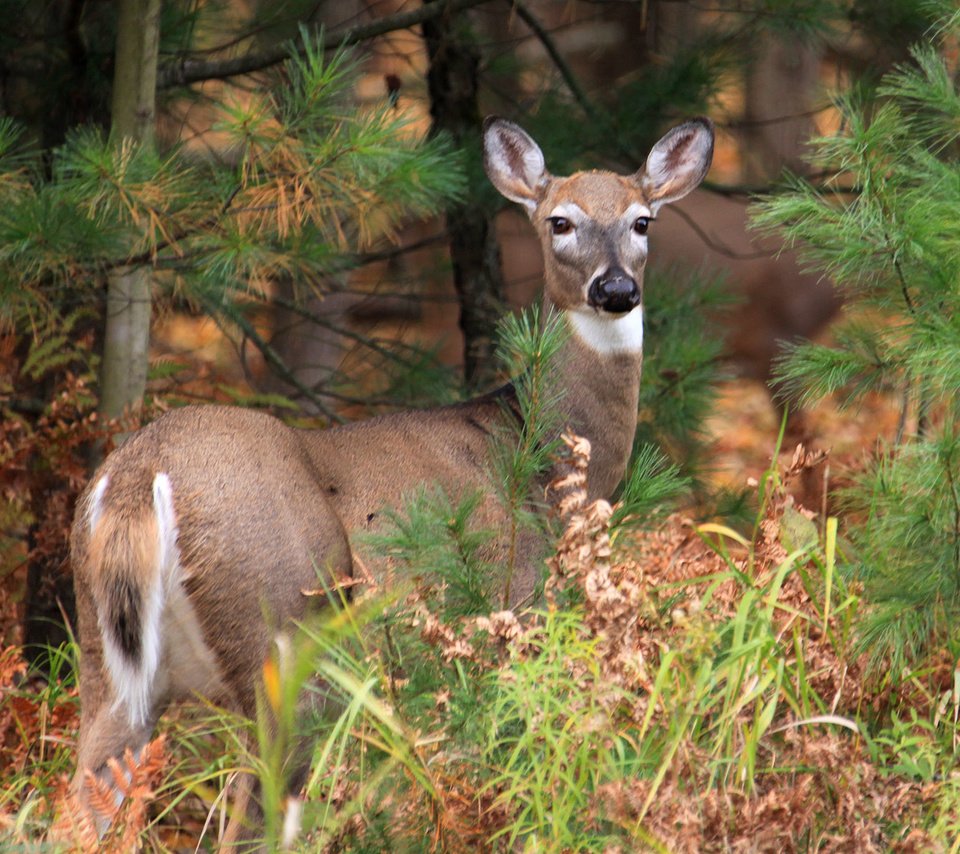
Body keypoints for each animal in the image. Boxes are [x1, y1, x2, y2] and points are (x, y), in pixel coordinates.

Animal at [69, 113, 712, 848]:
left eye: (641, 221)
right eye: (560, 221)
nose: (615, 291)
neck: (543, 454)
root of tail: (137, 477)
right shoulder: (512, 606)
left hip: (107, 663)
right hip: (282, 629)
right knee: (253, 812)